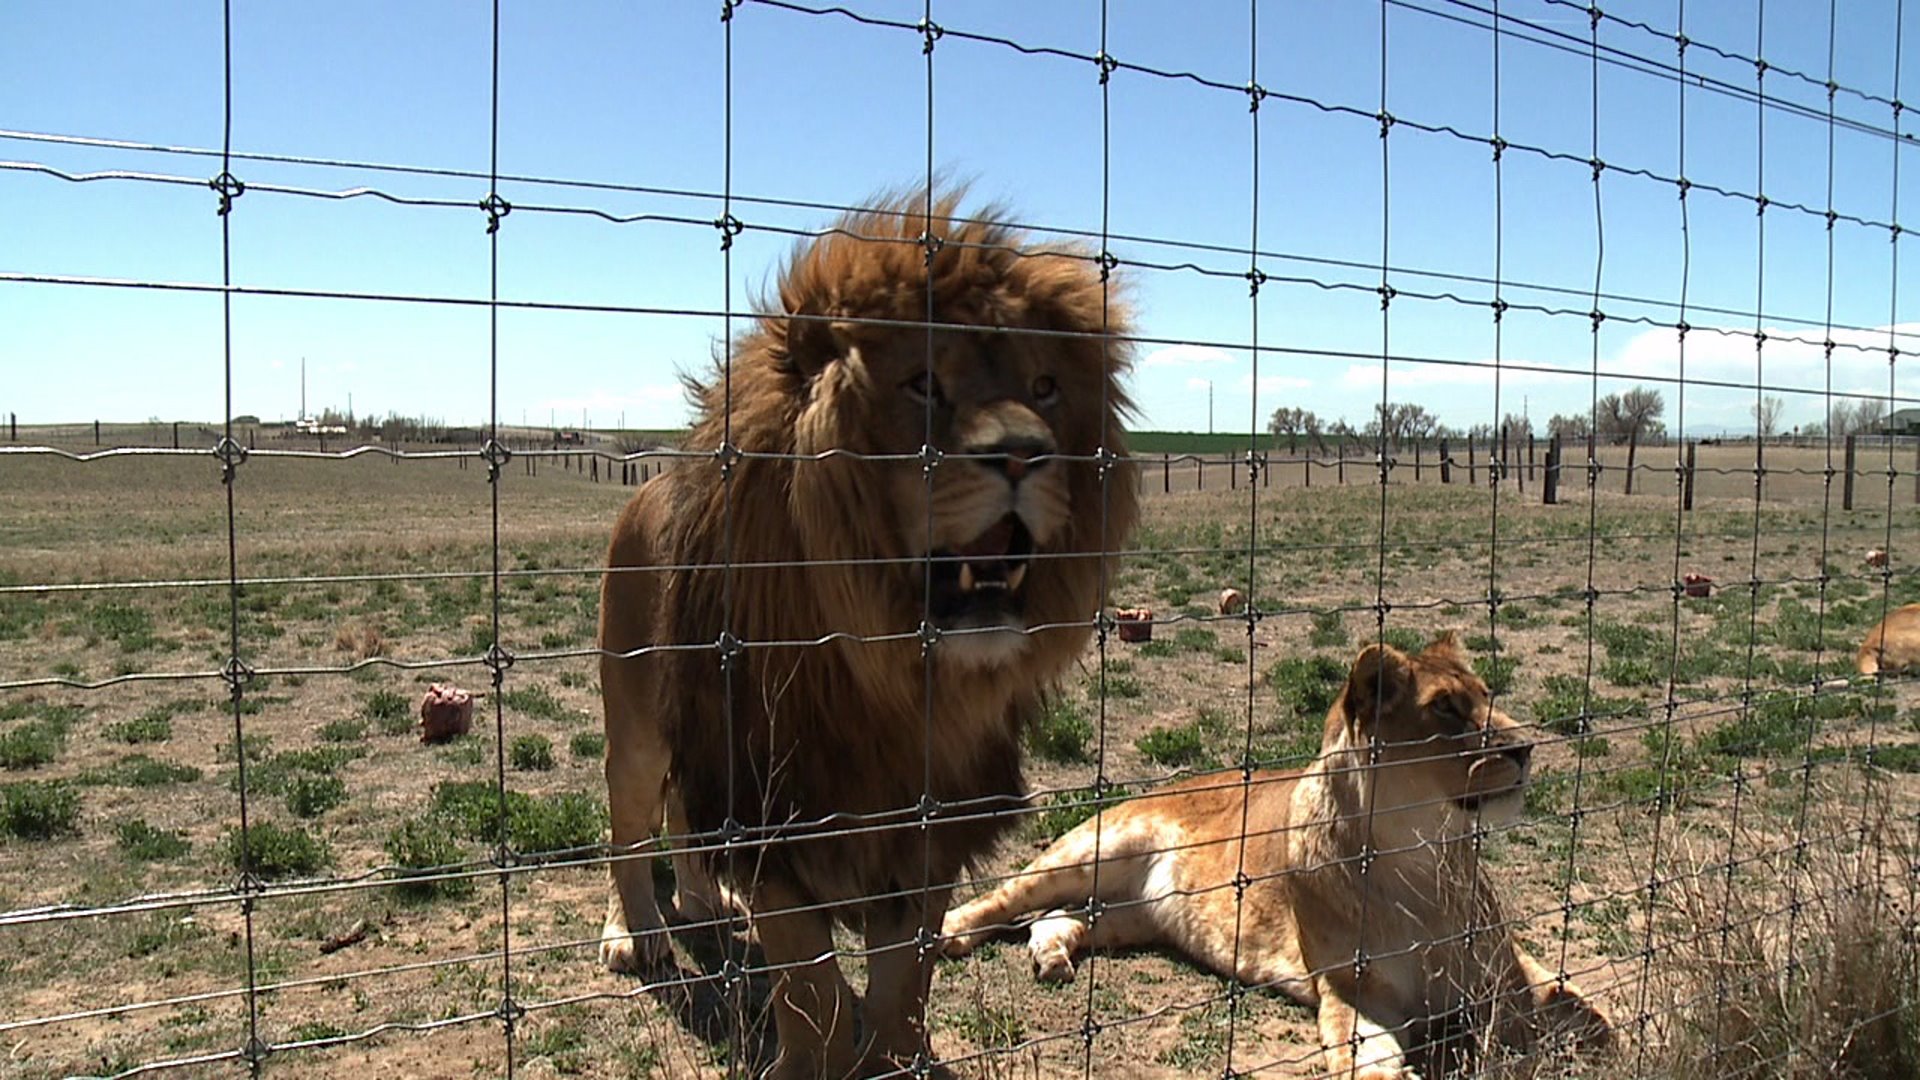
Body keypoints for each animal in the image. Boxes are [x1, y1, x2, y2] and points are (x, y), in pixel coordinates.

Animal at [599, 191, 1128, 1076]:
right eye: (924, 384)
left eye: (1047, 386)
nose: (1027, 454)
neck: (891, 678)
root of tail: (645, 488)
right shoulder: (774, 814)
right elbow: (808, 986)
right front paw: (818, 1058)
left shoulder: (927, 834)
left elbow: (902, 983)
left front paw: (890, 1056)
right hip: (639, 721)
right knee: (628, 826)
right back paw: (634, 935)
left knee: (681, 823)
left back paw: (705, 904)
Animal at [944, 630, 1620, 1076]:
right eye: (1446, 710)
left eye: (1486, 695)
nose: (1527, 748)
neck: (1425, 856)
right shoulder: (1354, 991)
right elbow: (1365, 1059)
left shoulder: (1505, 972)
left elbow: (1584, 1013)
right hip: (1092, 848)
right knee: (1003, 897)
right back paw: (952, 933)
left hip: (1136, 913)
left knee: (1059, 918)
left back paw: (1052, 955)